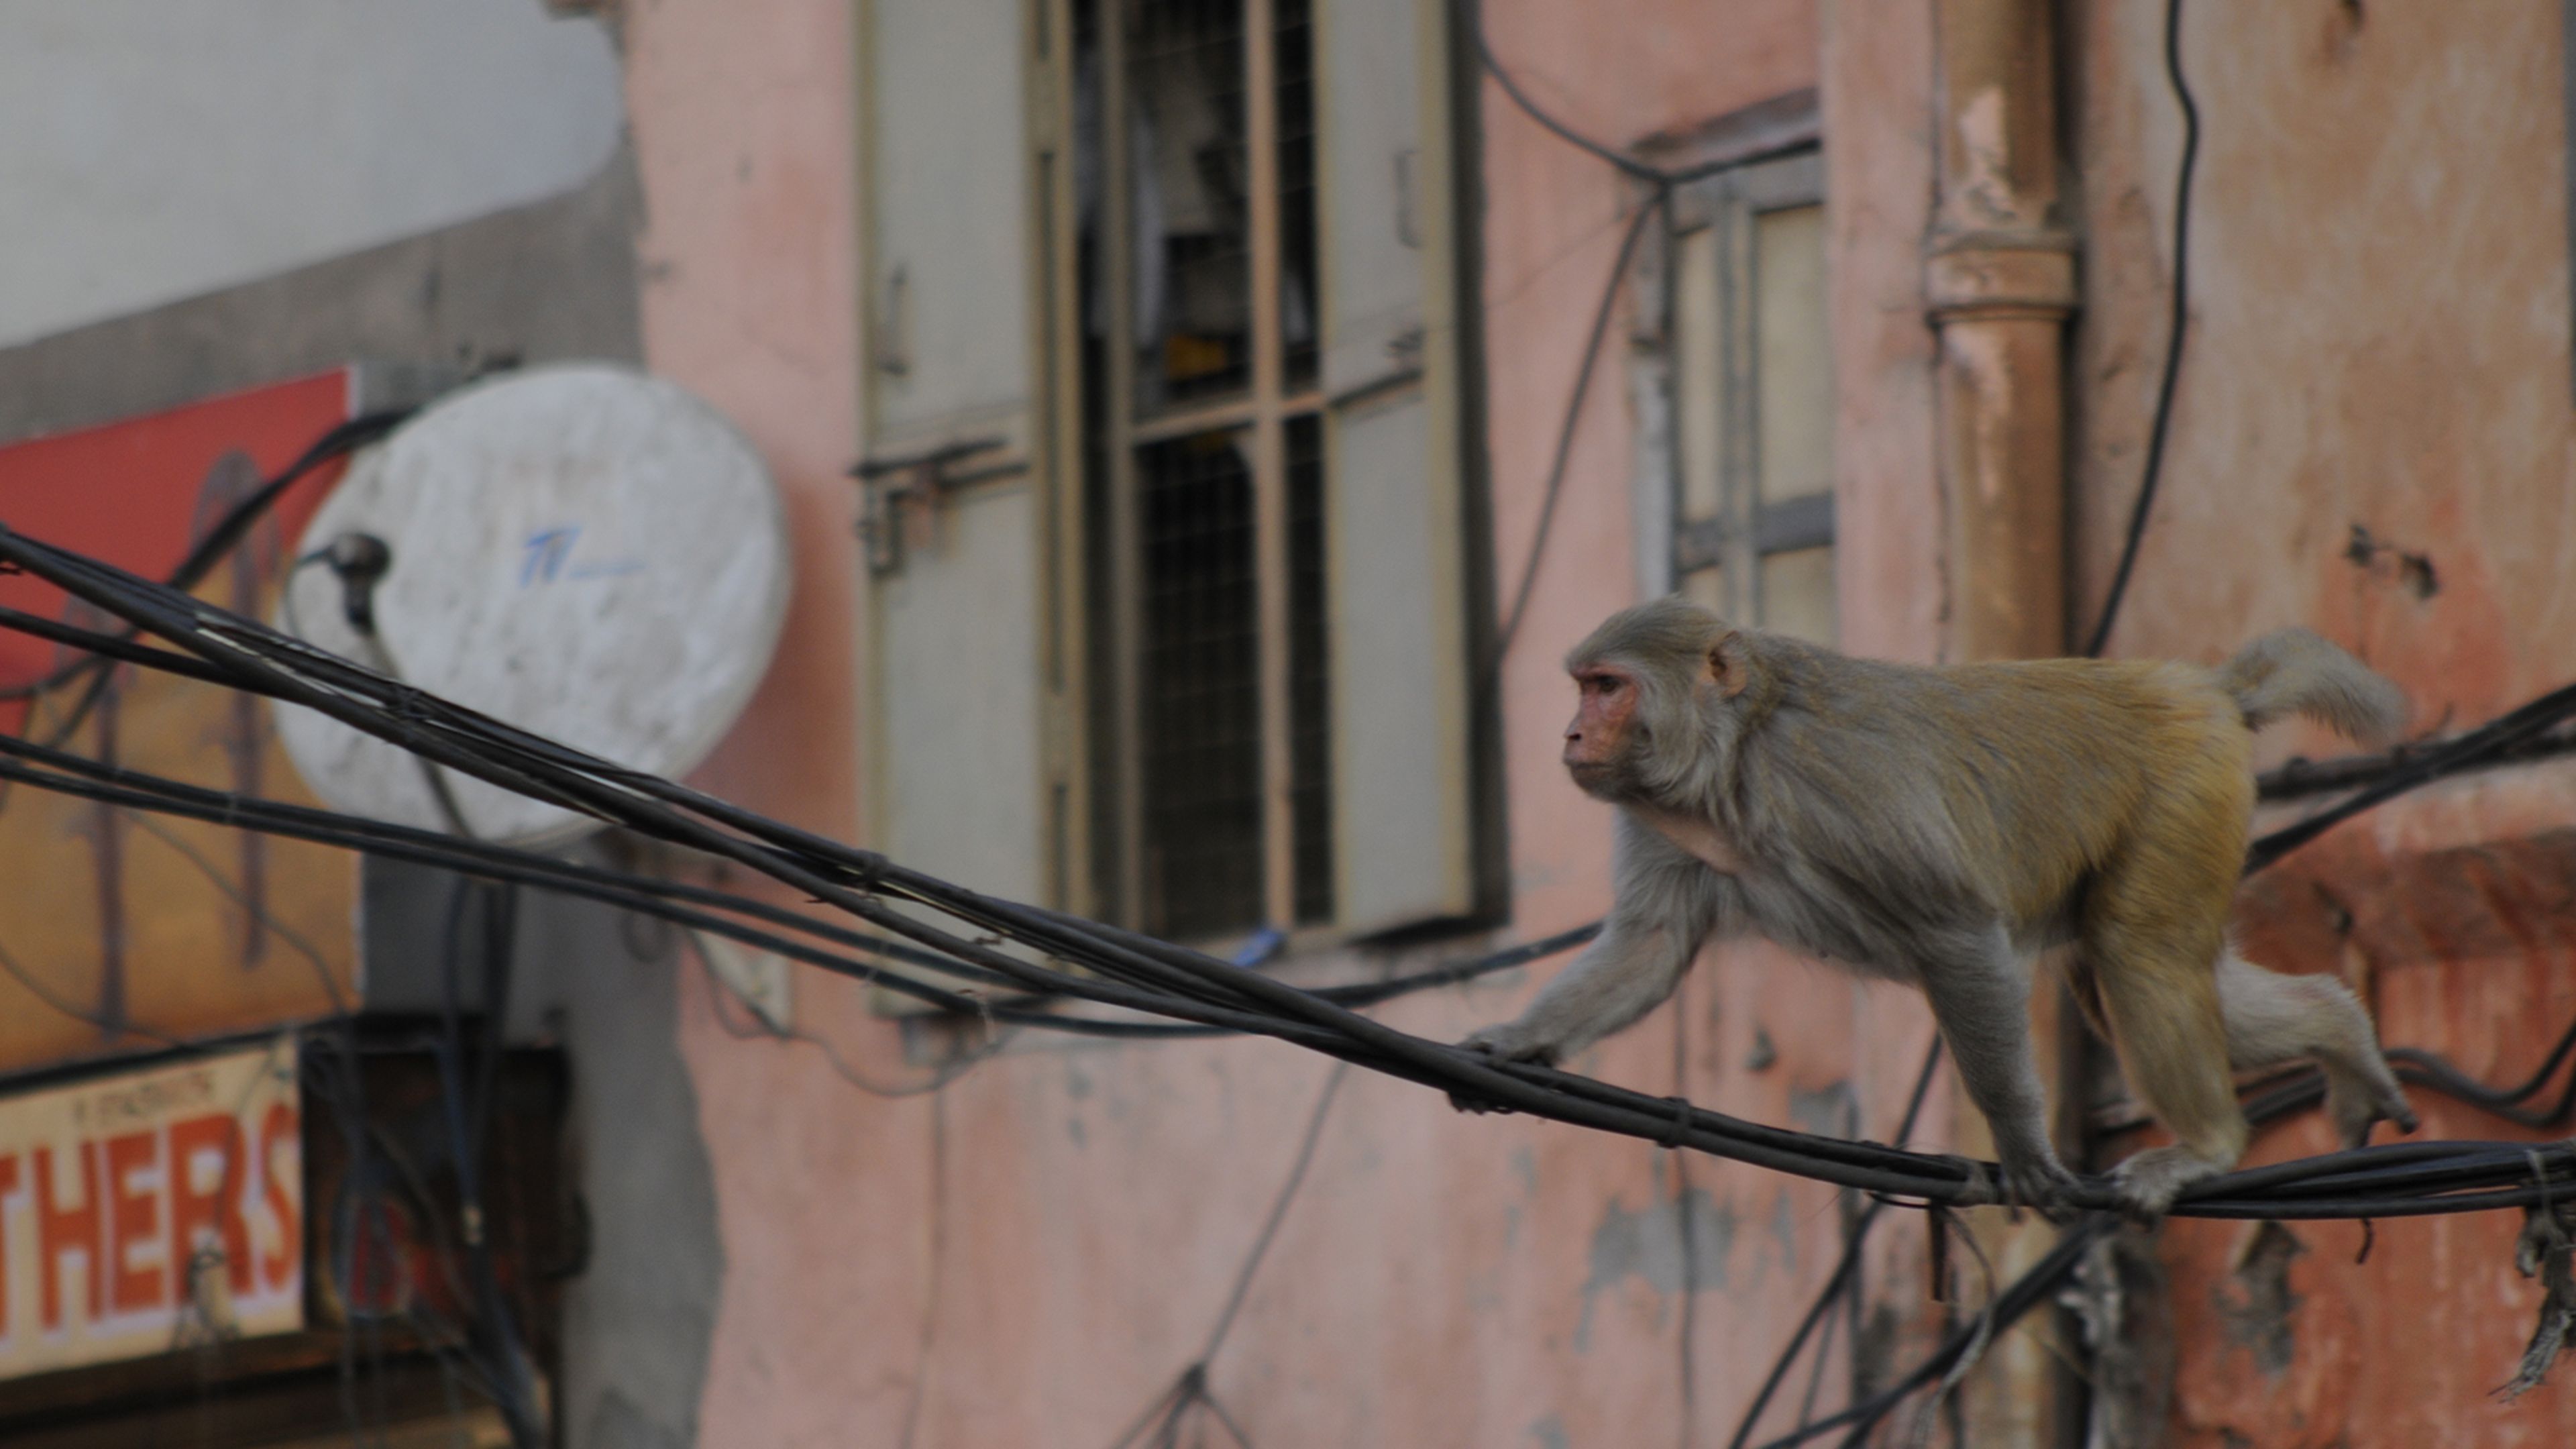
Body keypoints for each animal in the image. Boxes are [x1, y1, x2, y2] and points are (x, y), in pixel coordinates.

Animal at [1461, 597, 2419, 1220]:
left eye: (1606, 687)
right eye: (1582, 686)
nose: (1571, 736)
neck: (1736, 752)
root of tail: (2211, 689)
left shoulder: (1839, 782)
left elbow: (1953, 930)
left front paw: (2025, 1152)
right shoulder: (1662, 812)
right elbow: (1651, 946)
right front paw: (1511, 1044)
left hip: (2187, 781)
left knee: (2134, 952)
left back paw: (2210, 1145)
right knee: (2121, 970)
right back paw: (2340, 1029)